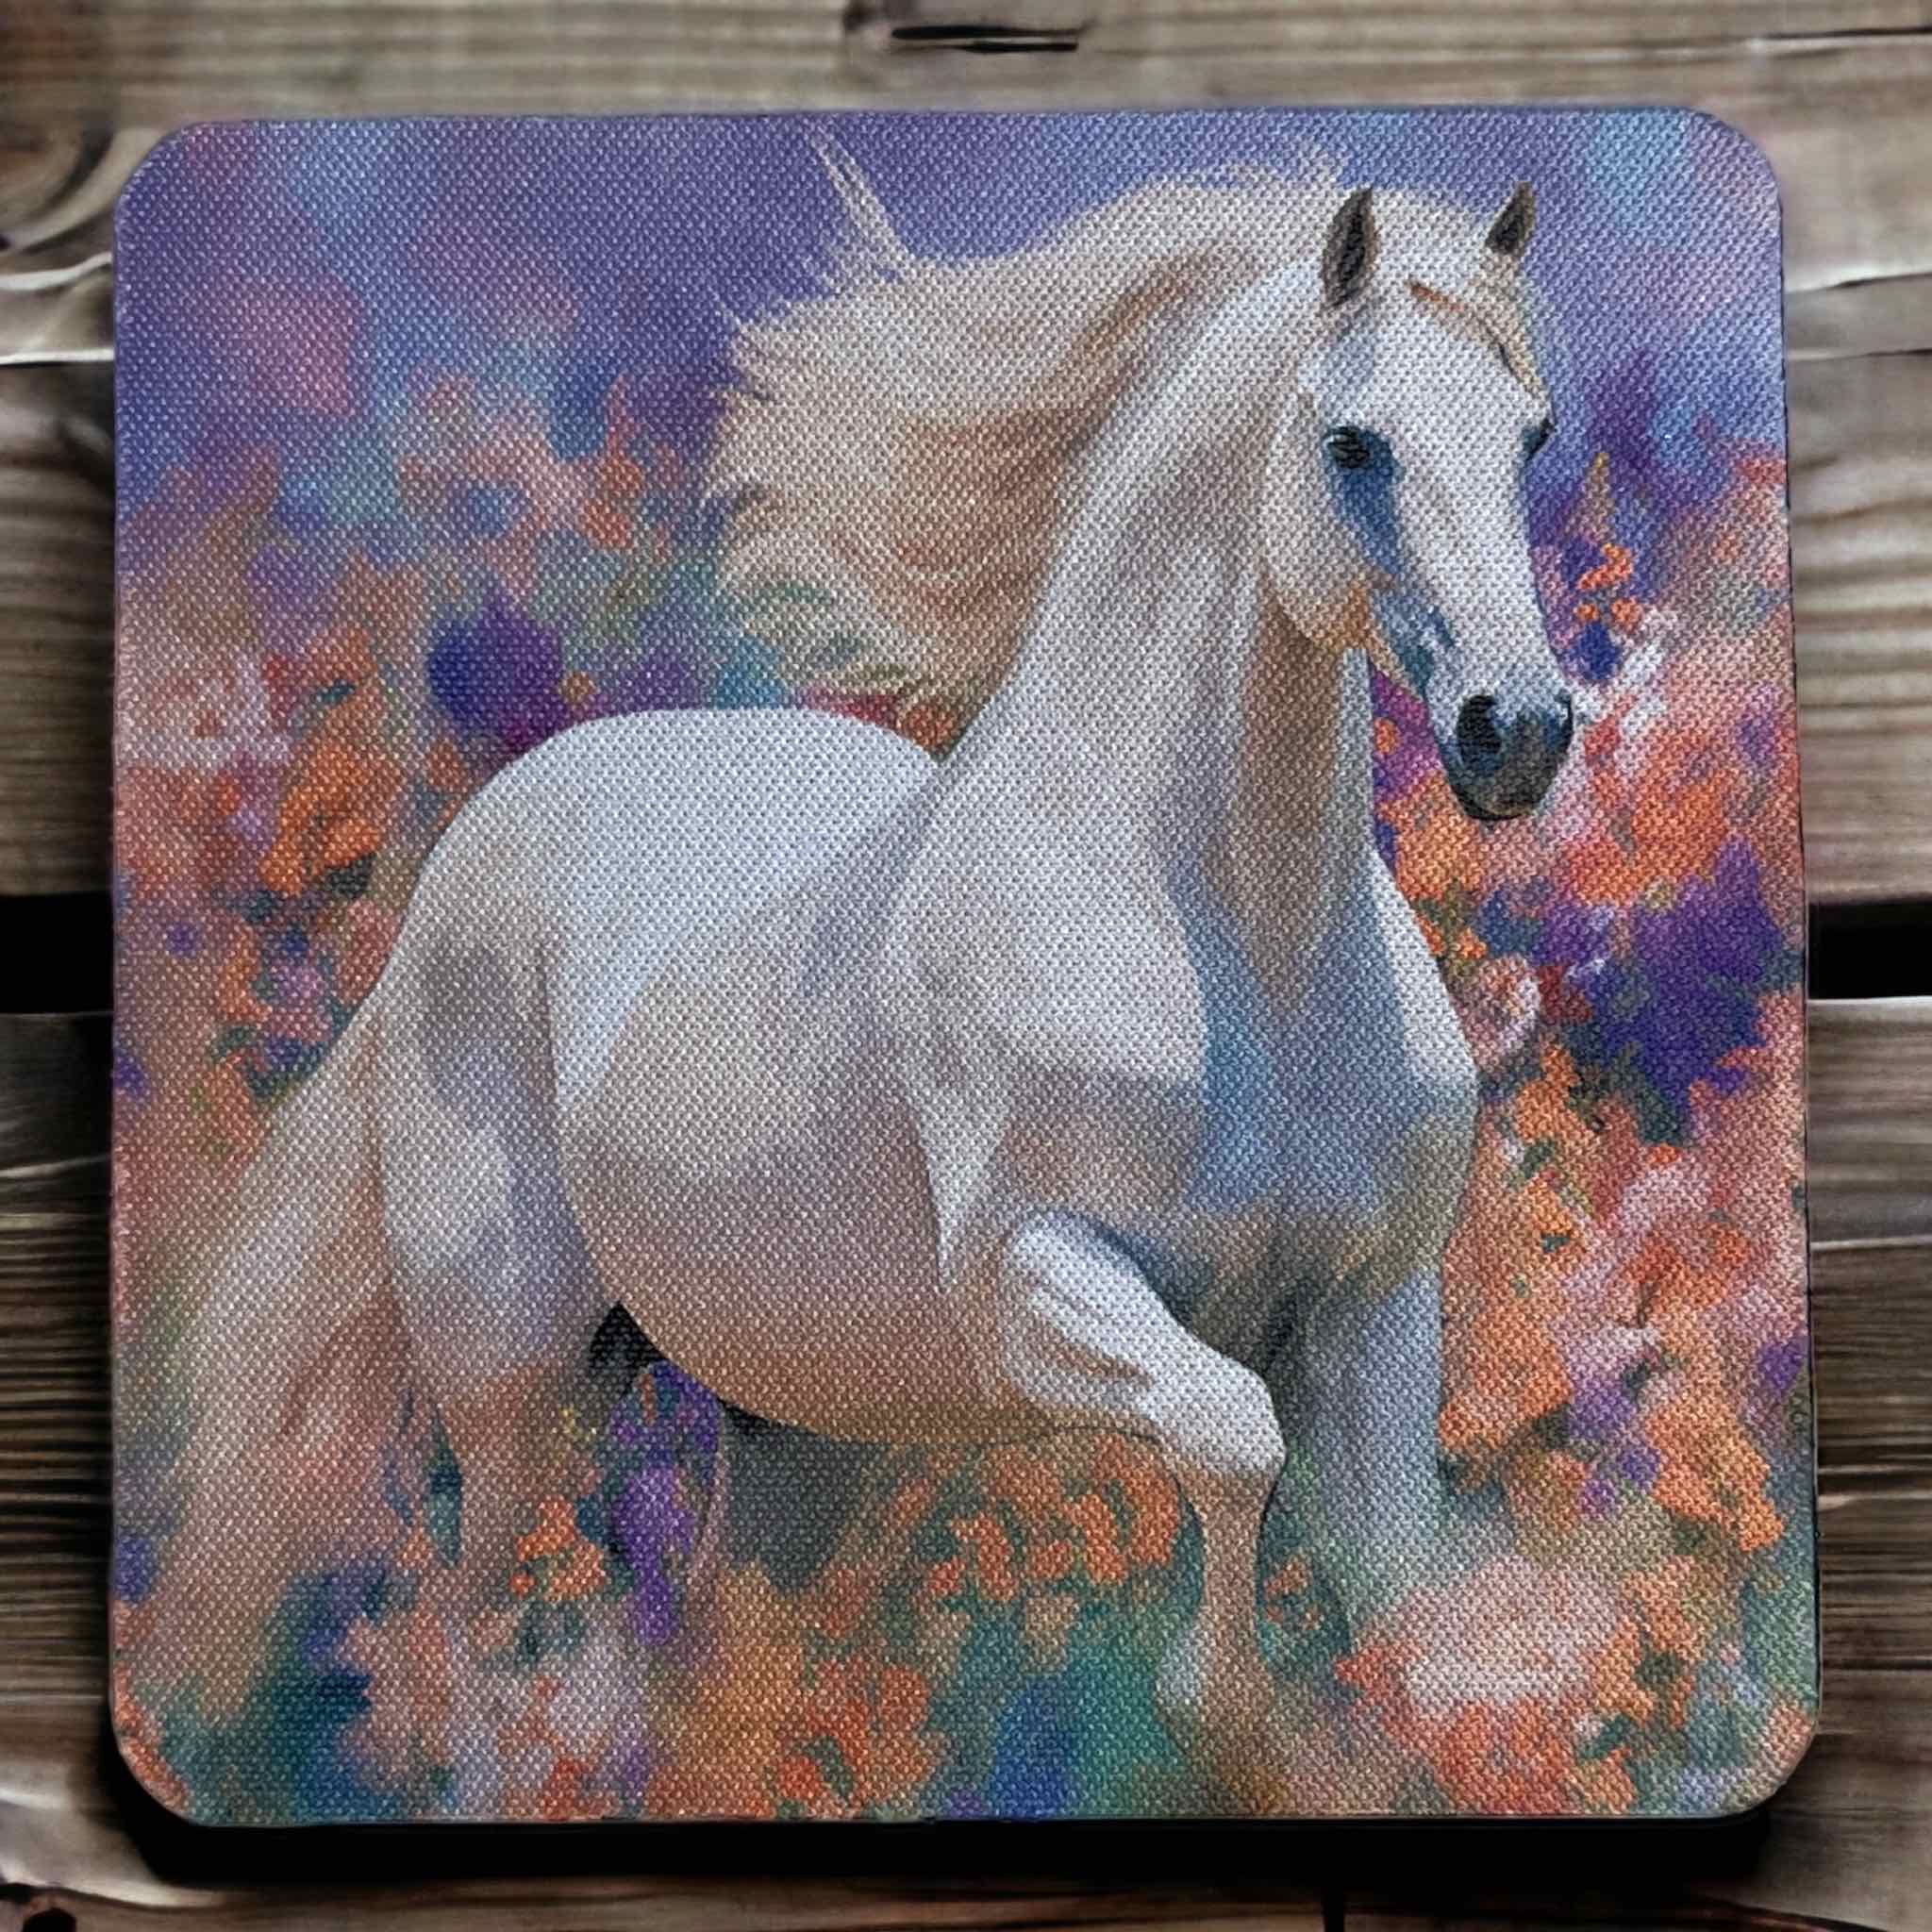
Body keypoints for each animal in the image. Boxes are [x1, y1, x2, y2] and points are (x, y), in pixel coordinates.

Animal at [151, 156, 1573, 1813]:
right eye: (1357, 443)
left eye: (1529, 435)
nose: (1517, 730)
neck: (1243, 949)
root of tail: (463, 866)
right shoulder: (1030, 1276)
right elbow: (1229, 1435)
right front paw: (1222, 1721)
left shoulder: (1374, 1317)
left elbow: (1411, 1605)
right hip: (517, 1396)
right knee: (478, 1627)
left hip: (793, 1431)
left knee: (715, 1646)